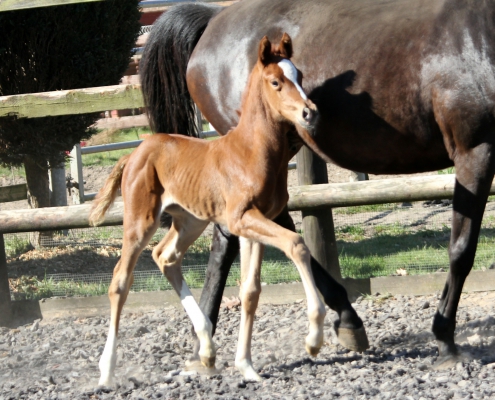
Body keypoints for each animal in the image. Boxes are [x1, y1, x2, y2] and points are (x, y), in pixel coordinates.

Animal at [90, 34, 326, 384]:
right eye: (276, 82)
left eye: (299, 76)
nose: (310, 113)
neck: (251, 152)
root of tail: (134, 152)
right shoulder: (241, 219)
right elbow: (296, 244)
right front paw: (313, 339)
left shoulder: (254, 223)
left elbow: (250, 291)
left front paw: (246, 366)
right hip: (140, 221)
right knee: (120, 280)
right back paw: (106, 371)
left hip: (190, 221)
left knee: (165, 257)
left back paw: (207, 349)